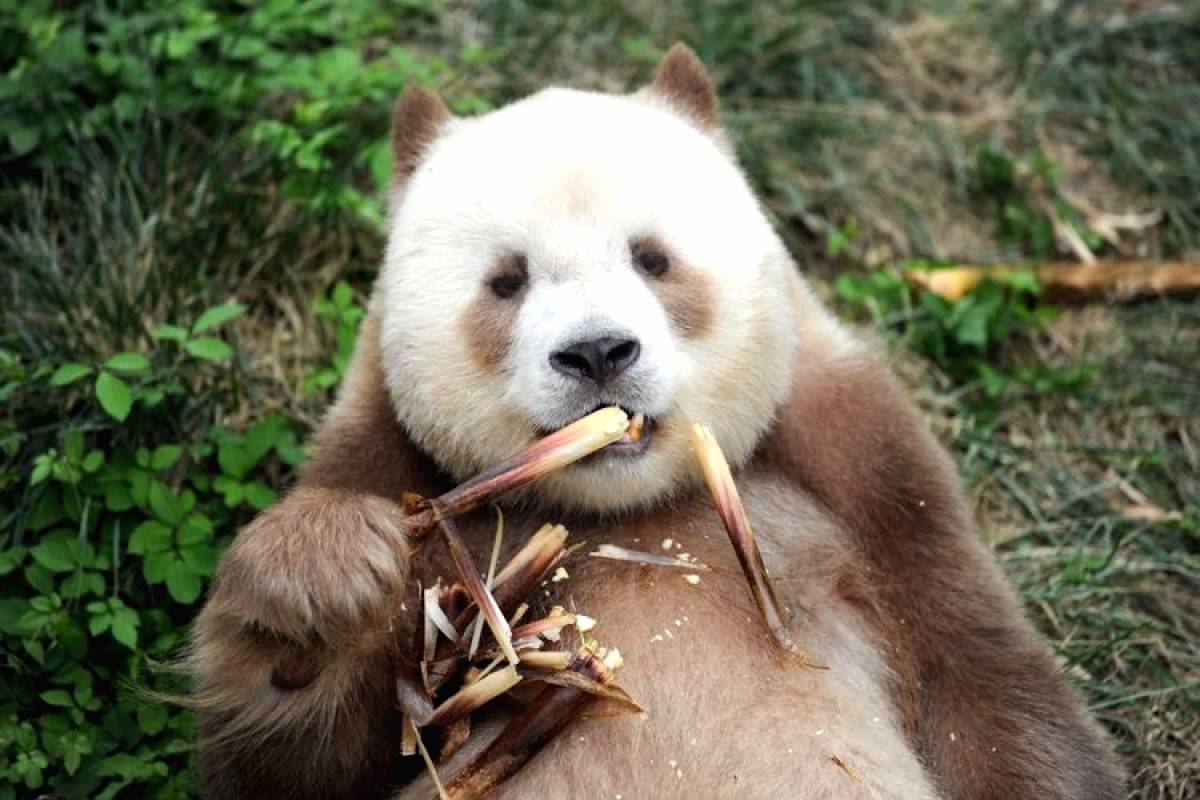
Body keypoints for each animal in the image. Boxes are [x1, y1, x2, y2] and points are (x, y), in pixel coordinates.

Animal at [188, 44, 1121, 799]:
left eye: (653, 259)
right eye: (506, 281)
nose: (598, 352)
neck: (632, 509)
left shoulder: (867, 475)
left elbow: (986, 686)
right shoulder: (388, 460)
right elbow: (305, 767)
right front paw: (321, 581)